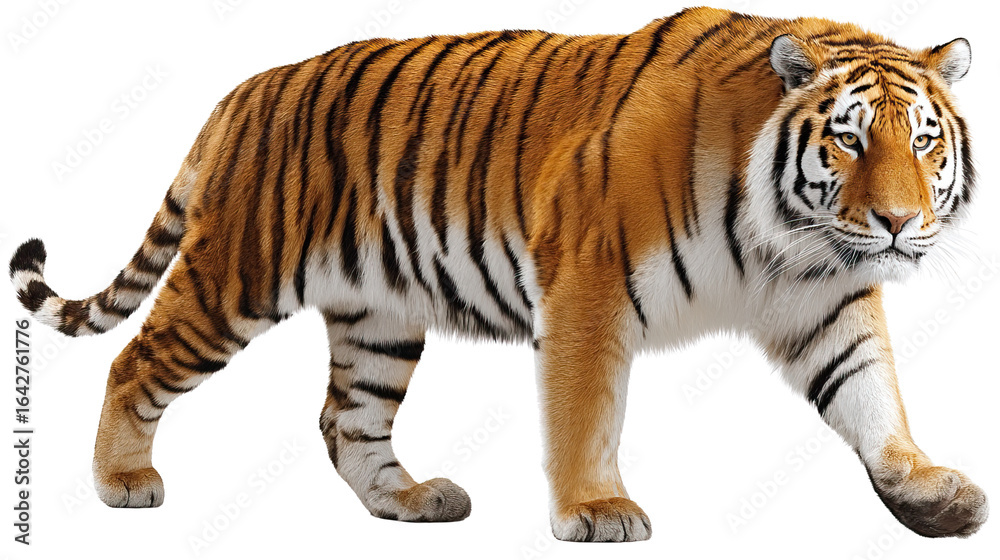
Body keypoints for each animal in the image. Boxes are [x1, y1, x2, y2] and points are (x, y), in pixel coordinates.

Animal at [8, 6, 987, 542]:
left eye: (923, 142)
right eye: (849, 139)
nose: (899, 223)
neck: (790, 238)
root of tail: (241, 92)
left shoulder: (826, 301)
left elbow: (871, 395)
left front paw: (926, 490)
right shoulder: (590, 286)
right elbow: (586, 414)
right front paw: (597, 509)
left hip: (379, 317)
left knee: (344, 420)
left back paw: (409, 500)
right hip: (234, 278)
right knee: (133, 362)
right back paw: (122, 483)